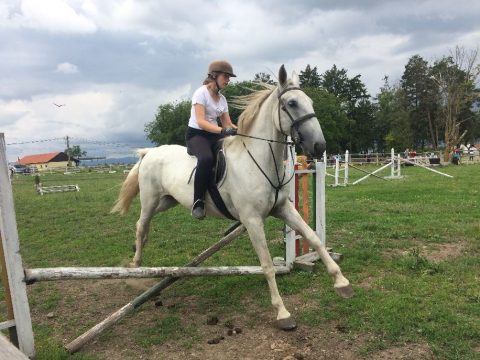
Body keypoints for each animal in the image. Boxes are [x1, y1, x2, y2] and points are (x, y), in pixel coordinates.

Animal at [112, 64, 352, 330]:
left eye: (309, 102)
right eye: (291, 103)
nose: (320, 146)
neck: (260, 160)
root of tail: (150, 152)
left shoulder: (283, 209)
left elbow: (314, 238)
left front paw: (342, 283)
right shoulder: (252, 220)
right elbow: (267, 265)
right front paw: (282, 313)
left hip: (166, 201)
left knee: (144, 226)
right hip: (150, 200)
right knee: (141, 225)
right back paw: (135, 266)